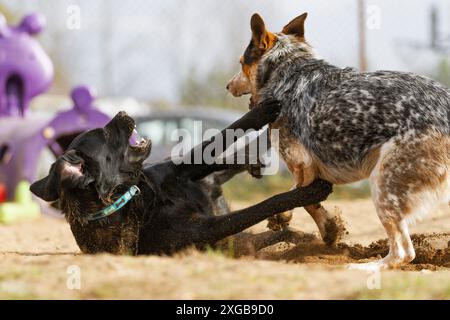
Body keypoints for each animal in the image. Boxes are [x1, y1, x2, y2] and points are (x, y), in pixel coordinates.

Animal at [29, 100, 328, 255]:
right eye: (103, 133)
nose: (123, 112)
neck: (131, 198)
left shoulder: (178, 169)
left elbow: (221, 136)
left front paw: (263, 111)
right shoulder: (208, 228)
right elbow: (266, 204)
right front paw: (311, 193)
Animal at [227, 12, 450, 268]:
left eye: (241, 63)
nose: (227, 85)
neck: (289, 70)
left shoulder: (302, 165)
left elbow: (299, 199)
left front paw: (324, 227)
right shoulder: (310, 171)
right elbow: (298, 198)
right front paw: (306, 221)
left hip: (383, 183)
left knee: (403, 253)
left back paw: (365, 267)